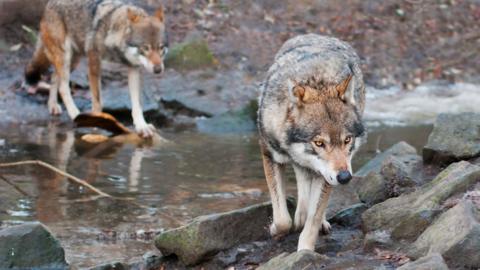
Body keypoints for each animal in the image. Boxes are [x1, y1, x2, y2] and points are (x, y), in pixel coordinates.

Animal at [25, 0, 171, 137]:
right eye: (145, 48)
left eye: (161, 47)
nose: (158, 70)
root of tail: (49, 4)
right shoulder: (94, 62)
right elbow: (97, 101)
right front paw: (96, 123)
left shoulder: (134, 68)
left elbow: (137, 104)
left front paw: (142, 126)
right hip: (65, 57)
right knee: (63, 87)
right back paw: (75, 114)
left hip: (73, 61)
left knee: (54, 77)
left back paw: (53, 106)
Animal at [256, 33, 366, 251]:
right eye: (319, 143)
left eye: (347, 139)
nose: (344, 177)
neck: (316, 81)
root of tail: (318, 35)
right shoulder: (270, 155)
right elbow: (283, 220)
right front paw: (275, 228)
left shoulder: (328, 174)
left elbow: (313, 219)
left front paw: (305, 251)